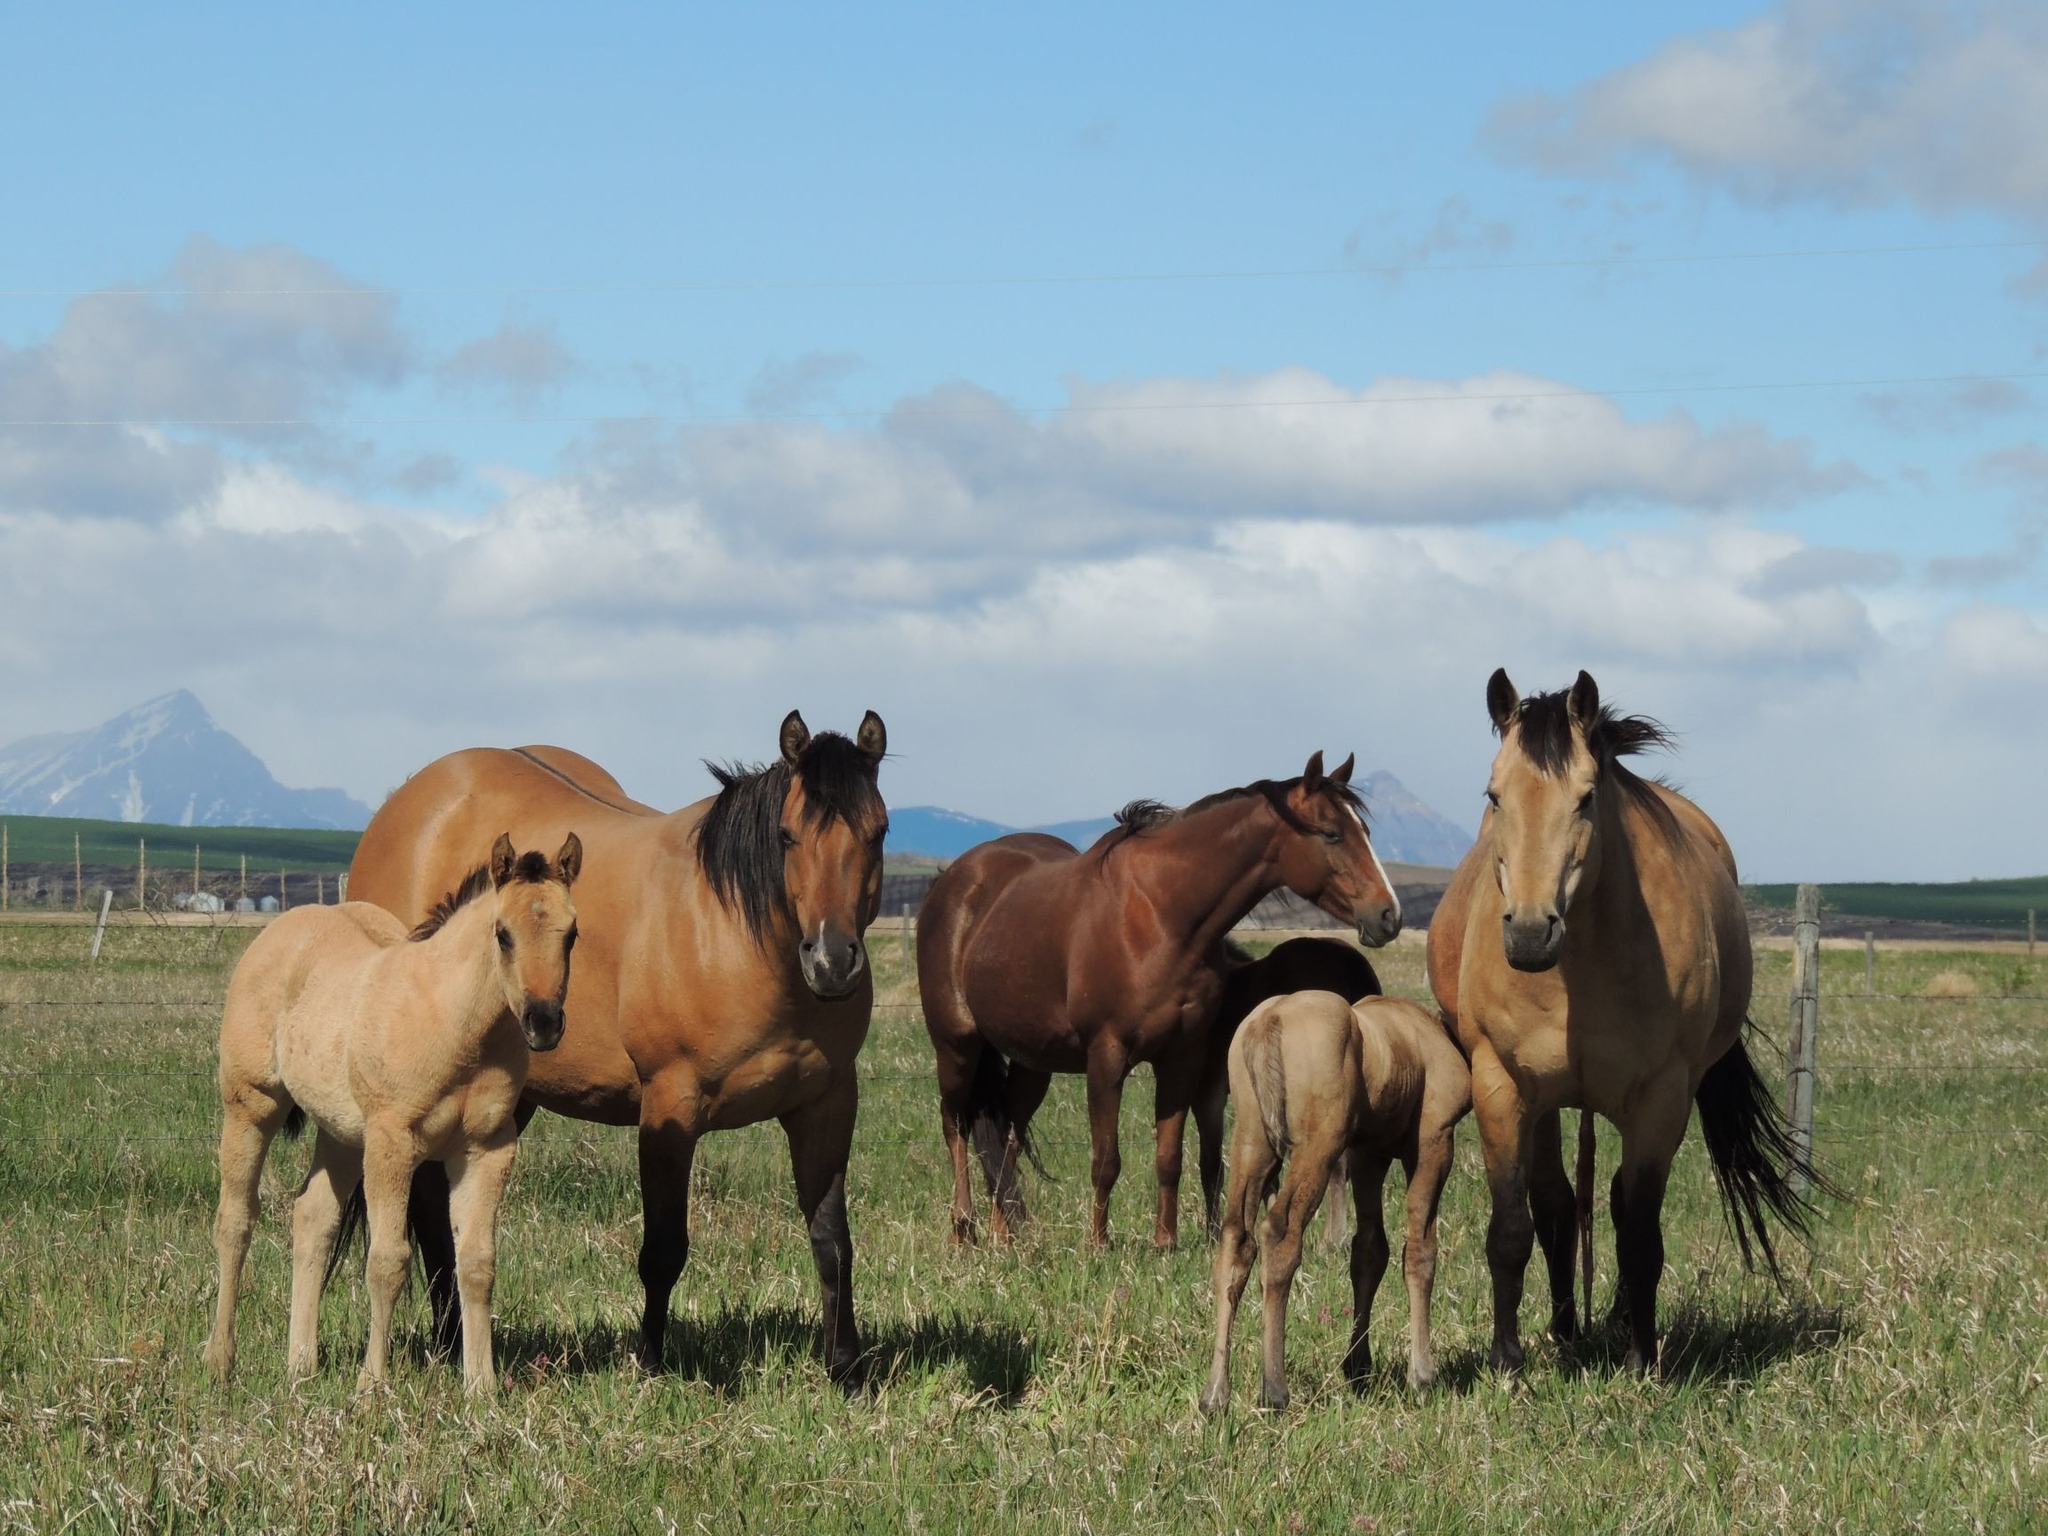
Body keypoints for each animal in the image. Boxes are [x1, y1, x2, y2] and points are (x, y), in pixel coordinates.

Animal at [204, 833, 581, 1394]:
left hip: (341, 1134)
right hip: (252, 1105)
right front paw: (371, 1386)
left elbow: (477, 1262)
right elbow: (387, 1261)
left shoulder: (487, 1150)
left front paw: (482, 1388)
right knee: (235, 1220)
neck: (454, 1023)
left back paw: (301, 1365)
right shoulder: (392, 1144)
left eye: (572, 933)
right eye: (503, 934)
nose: (543, 1023)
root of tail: (281, 930)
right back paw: (219, 1361)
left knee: (312, 1216)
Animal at [346, 710, 887, 1387]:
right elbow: (663, 1249)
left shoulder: (828, 1106)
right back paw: (448, 1343)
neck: (732, 933)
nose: (833, 962)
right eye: (787, 836)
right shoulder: (669, 1109)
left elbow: (832, 1241)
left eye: (878, 832)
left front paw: (848, 1371)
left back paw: (451, 1340)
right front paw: (650, 1365)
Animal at [1199, 991, 1470, 1414]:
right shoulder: (1433, 1141)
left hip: (1251, 1139)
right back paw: (1274, 1389)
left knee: (1236, 1240)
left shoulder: (1369, 1152)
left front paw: (1358, 1365)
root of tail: (1269, 1023)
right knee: (1280, 1234)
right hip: (1318, 1145)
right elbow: (1420, 1252)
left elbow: (1369, 1251)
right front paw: (1422, 1374)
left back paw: (1215, 1393)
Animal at [1427, 669, 1819, 1376]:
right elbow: (1512, 1226)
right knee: (1556, 1204)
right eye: (1494, 796)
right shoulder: (1500, 1085)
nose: (1529, 934)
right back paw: (1564, 1328)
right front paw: (1506, 1359)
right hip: (1546, 1104)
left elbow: (1638, 1227)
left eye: (1586, 798)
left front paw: (1642, 1359)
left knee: (1610, 1201)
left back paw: (1614, 1324)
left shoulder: (1662, 1097)